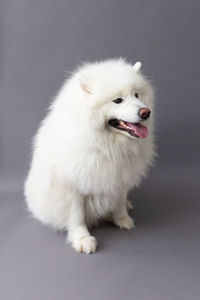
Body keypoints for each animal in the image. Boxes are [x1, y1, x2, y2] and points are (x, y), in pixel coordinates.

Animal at [24, 58, 155, 253]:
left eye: (137, 95)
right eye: (117, 100)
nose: (145, 112)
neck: (106, 145)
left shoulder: (119, 179)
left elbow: (118, 203)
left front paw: (122, 220)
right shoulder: (72, 188)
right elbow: (77, 216)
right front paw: (83, 240)